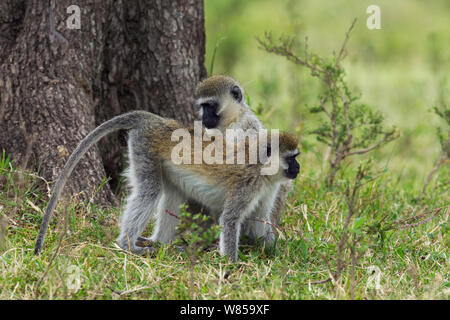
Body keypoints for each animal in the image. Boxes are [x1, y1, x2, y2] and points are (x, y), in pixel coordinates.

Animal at [32, 110, 298, 260]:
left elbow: (258, 222)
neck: (262, 168)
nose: (298, 169)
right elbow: (231, 220)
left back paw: (160, 243)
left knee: (172, 195)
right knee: (150, 191)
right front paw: (231, 266)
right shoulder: (247, 185)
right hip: (144, 148)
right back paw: (127, 245)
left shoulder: (268, 188)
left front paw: (274, 251)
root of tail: (159, 121)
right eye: (292, 158)